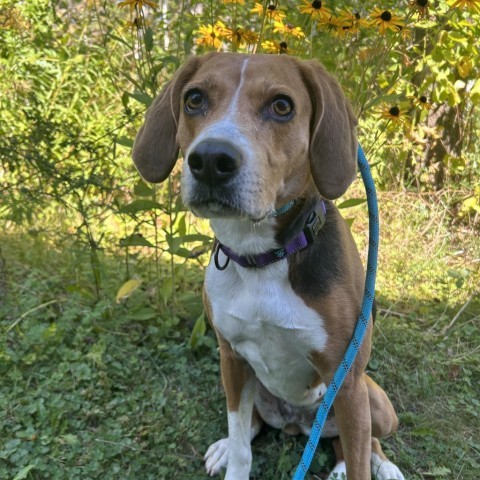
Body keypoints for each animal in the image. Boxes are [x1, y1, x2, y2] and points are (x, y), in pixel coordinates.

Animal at [132, 52, 404, 480]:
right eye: (194, 99)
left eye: (281, 106)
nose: (210, 160)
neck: (259, 256)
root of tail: (297, 424)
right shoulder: (231, 357)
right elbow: (243, 445)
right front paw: (233, 457)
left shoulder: (347, 383)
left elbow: (360, 458)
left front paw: (364, 466)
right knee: (254, 426)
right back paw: (226, 447)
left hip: (372, 401)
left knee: (362, 442)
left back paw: (375, 465)